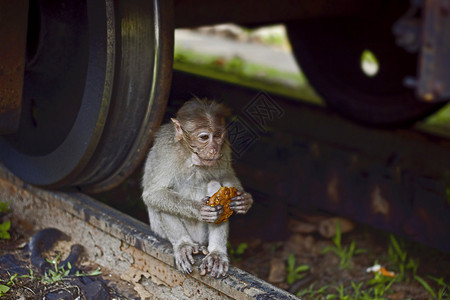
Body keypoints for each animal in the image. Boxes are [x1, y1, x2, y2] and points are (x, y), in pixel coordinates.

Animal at [142, 99, 251, 278]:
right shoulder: (167, 151)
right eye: (204, 137)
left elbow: (227, 176)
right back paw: (183, 244)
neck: (191, 156)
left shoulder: (225, 147)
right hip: (160, 231)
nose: (214, 149)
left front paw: (243, 200)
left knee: (213, 184)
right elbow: (153, 193)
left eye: (218, 135)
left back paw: (216, 252)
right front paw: (200, 209)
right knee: (162, 199)